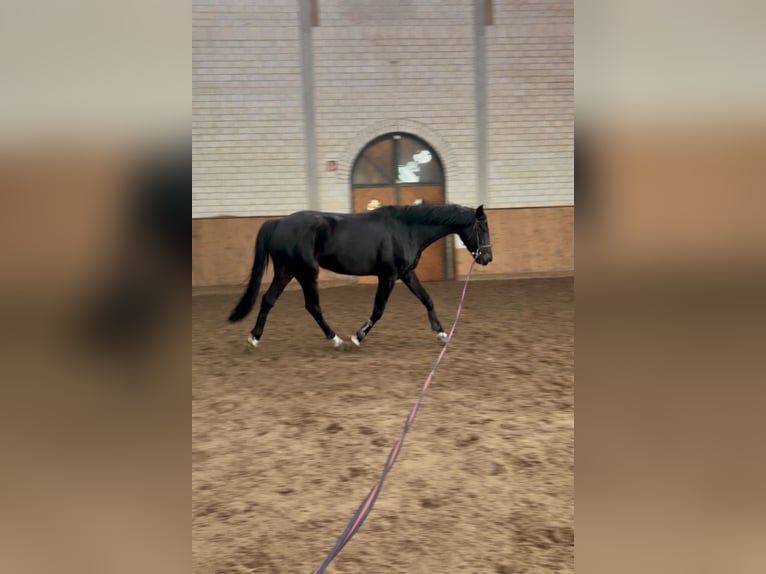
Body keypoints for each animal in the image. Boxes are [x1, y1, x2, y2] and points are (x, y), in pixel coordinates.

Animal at [228, 203, 492, 349]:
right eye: (482, 227)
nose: (487, 258)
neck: (406, 228)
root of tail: (278, 223)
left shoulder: (406, 273)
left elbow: (427, 299)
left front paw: (442, 334)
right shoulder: (388, 276)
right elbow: (378, 310)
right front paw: (358, 337)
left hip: (287, 272)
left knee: (268, 300)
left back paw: (254, 339)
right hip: (306, 273)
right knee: (312, 306)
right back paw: (335, 340)